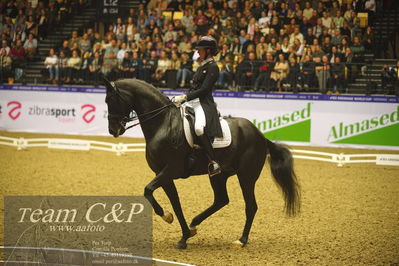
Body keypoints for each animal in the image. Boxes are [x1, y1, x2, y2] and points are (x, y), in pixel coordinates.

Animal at [104, 78, 300, 249]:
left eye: (111, 100)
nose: (113, 130)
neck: (163, 124)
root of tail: (260, 135)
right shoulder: (162, 173)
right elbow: (175, 203)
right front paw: (184, 235)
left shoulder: (170, 169)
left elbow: (148, 190)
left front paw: (167, 217)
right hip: (219, 175)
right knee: (221, 199)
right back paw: (194, 223)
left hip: (246, 176)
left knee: (250, 206)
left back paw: (241, 240)